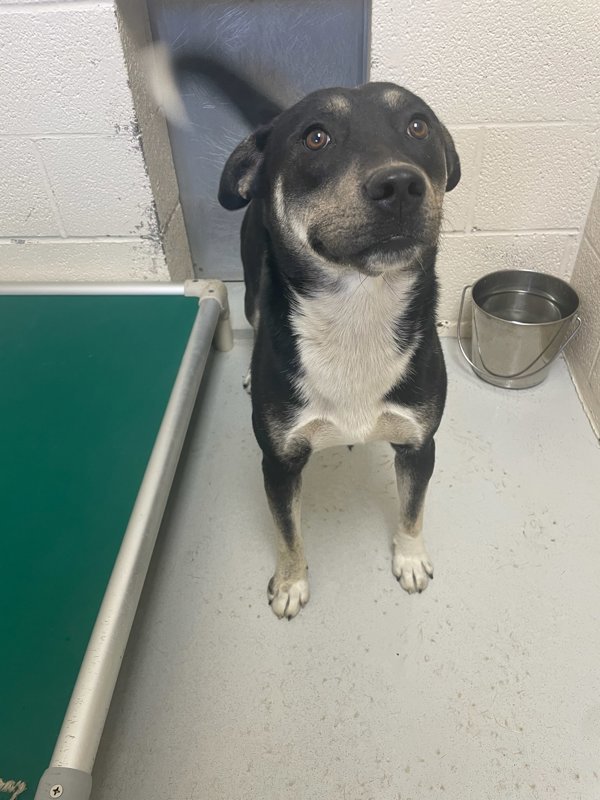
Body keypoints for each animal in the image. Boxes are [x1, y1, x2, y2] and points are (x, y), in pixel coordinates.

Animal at [154, 53, 460, 620]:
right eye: (316, 137)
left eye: (418, 126)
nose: (400, 185)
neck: (356, 312)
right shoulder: (277, 463)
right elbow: (287, 532)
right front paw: (290, 583)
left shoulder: (419, 443)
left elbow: (412, 509)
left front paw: (409, 557)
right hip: (252, 291)